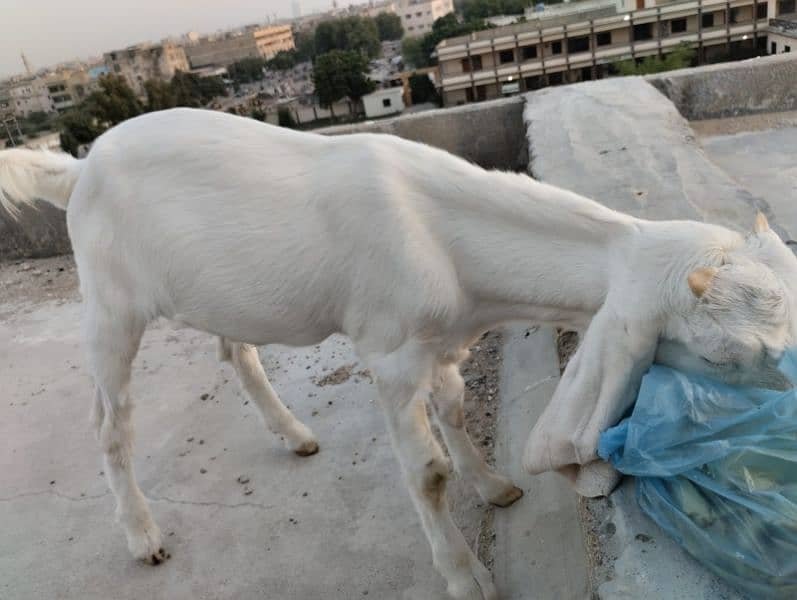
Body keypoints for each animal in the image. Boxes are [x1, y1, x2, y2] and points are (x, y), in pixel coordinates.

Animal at [1, 109, 796, 600]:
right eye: (731, 353)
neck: (445, 237)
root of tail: (78, 168)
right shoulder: (389, 355)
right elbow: (427, 473)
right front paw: (466, 576)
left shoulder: (441, 342)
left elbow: (456, 410)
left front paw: (495, 486)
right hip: (110, 307)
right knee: (111, 422)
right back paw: (142, 535)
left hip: (218, 292)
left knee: (237, 352)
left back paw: (293, 434)